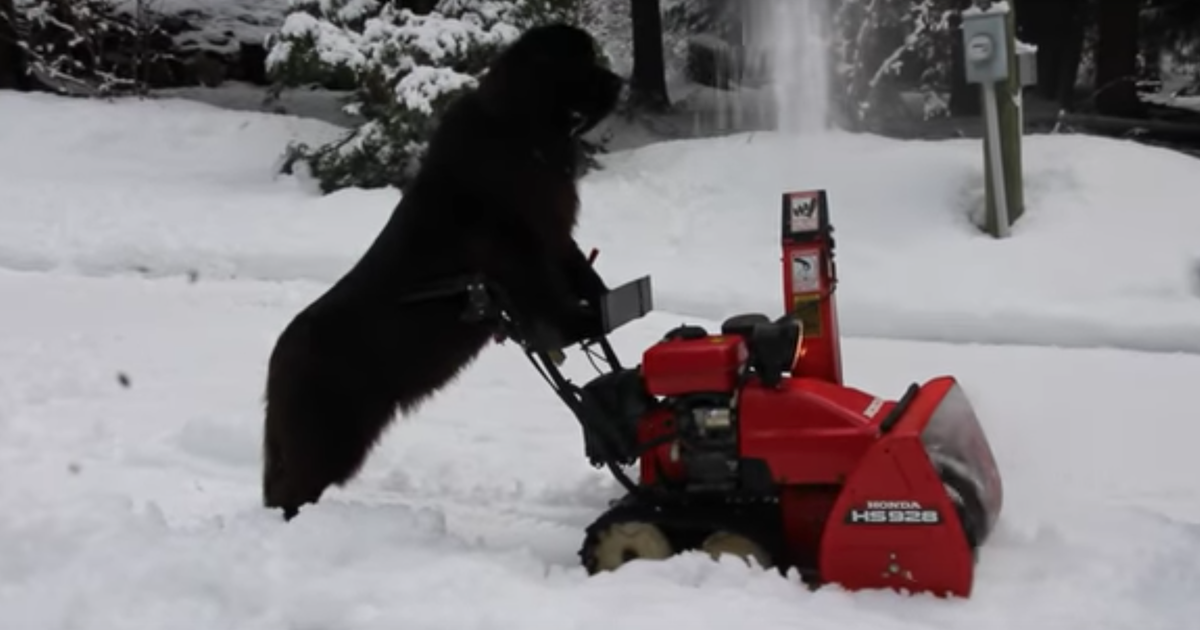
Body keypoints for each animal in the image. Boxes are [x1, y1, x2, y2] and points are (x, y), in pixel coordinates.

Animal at [259, 23, 624, 520]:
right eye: (580, 62)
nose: (620, 81)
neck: (523, 131)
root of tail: (278, 356)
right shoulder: (518, 247)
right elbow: (546, 290)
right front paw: (581, 320)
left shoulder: (554, 230)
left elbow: (576, 268)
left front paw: (600, 297)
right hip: (329, 436)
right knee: (291, 491)